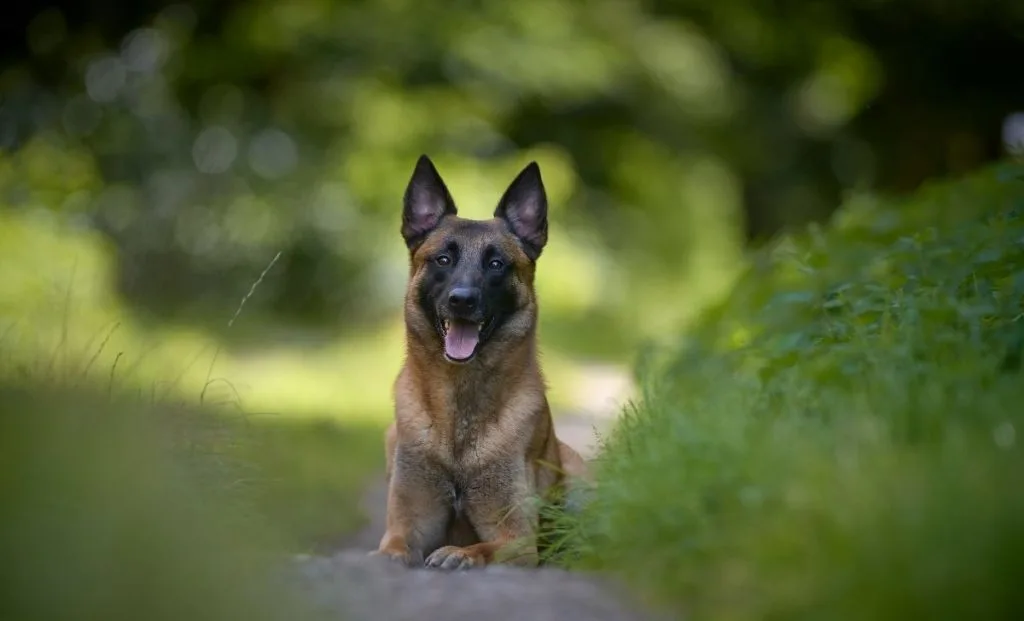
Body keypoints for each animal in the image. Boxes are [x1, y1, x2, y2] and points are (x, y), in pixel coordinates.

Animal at [372, 153, 589, 573]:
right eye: (443, 259)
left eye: (496, 264)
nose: (462, 300)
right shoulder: (407, 526)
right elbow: (392, 549)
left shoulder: (517, 541)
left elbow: (483, 547)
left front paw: (459, 552)